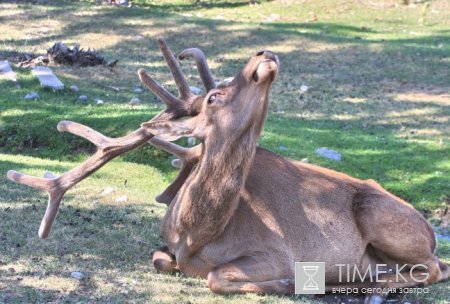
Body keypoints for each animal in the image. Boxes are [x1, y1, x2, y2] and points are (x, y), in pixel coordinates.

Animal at [7, 39, 450, 302]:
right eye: (214, 96)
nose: (263, 54)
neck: (197, 234)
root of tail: (430, 230)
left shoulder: (276, 251)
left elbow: (217, 277)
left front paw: (289, 283)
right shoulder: (169, 247)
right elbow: (160, 259)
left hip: (382, 217)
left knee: (432, 267)